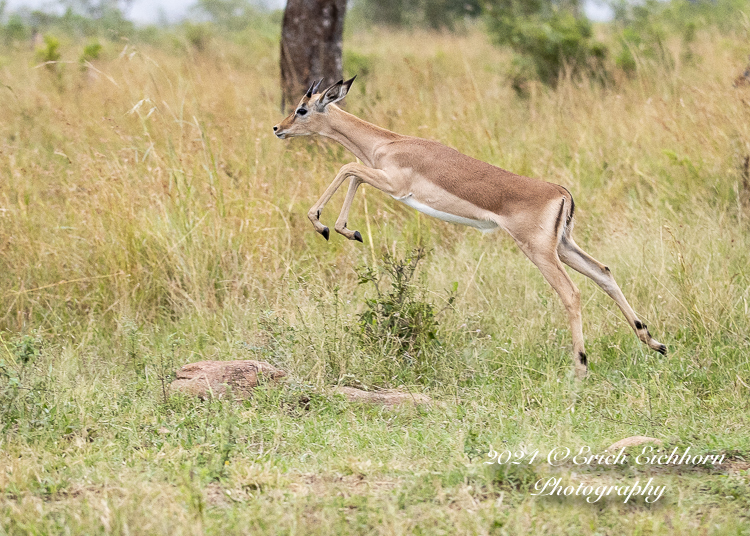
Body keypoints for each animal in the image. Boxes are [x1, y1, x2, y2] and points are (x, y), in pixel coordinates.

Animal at [274, 77, 668, 376]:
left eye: (302, 108)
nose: (278, 128)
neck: (389, 143)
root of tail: (560, 192)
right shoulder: (382, 179)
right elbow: (353, 174)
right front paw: (347, 230)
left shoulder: (395, 185)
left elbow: (347, 169)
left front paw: (324, 226)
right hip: (564, 246)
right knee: (604, 273)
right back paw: (655, 343)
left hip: (540, 251)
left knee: (571, 293)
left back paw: (581, 367)